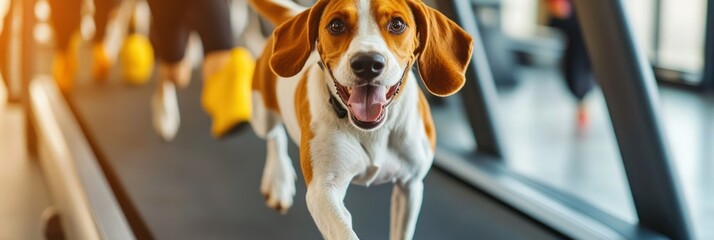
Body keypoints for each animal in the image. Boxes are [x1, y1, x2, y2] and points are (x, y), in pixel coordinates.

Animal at [248, 0, 470, 238]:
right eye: (336, 25)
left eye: (397, 24)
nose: (367, 63)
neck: (374, 130)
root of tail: (295, 13)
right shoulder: (323, 191)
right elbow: (344, 230)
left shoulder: (410, 184)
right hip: (262, 115)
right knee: (274, 135)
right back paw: (278, 179)